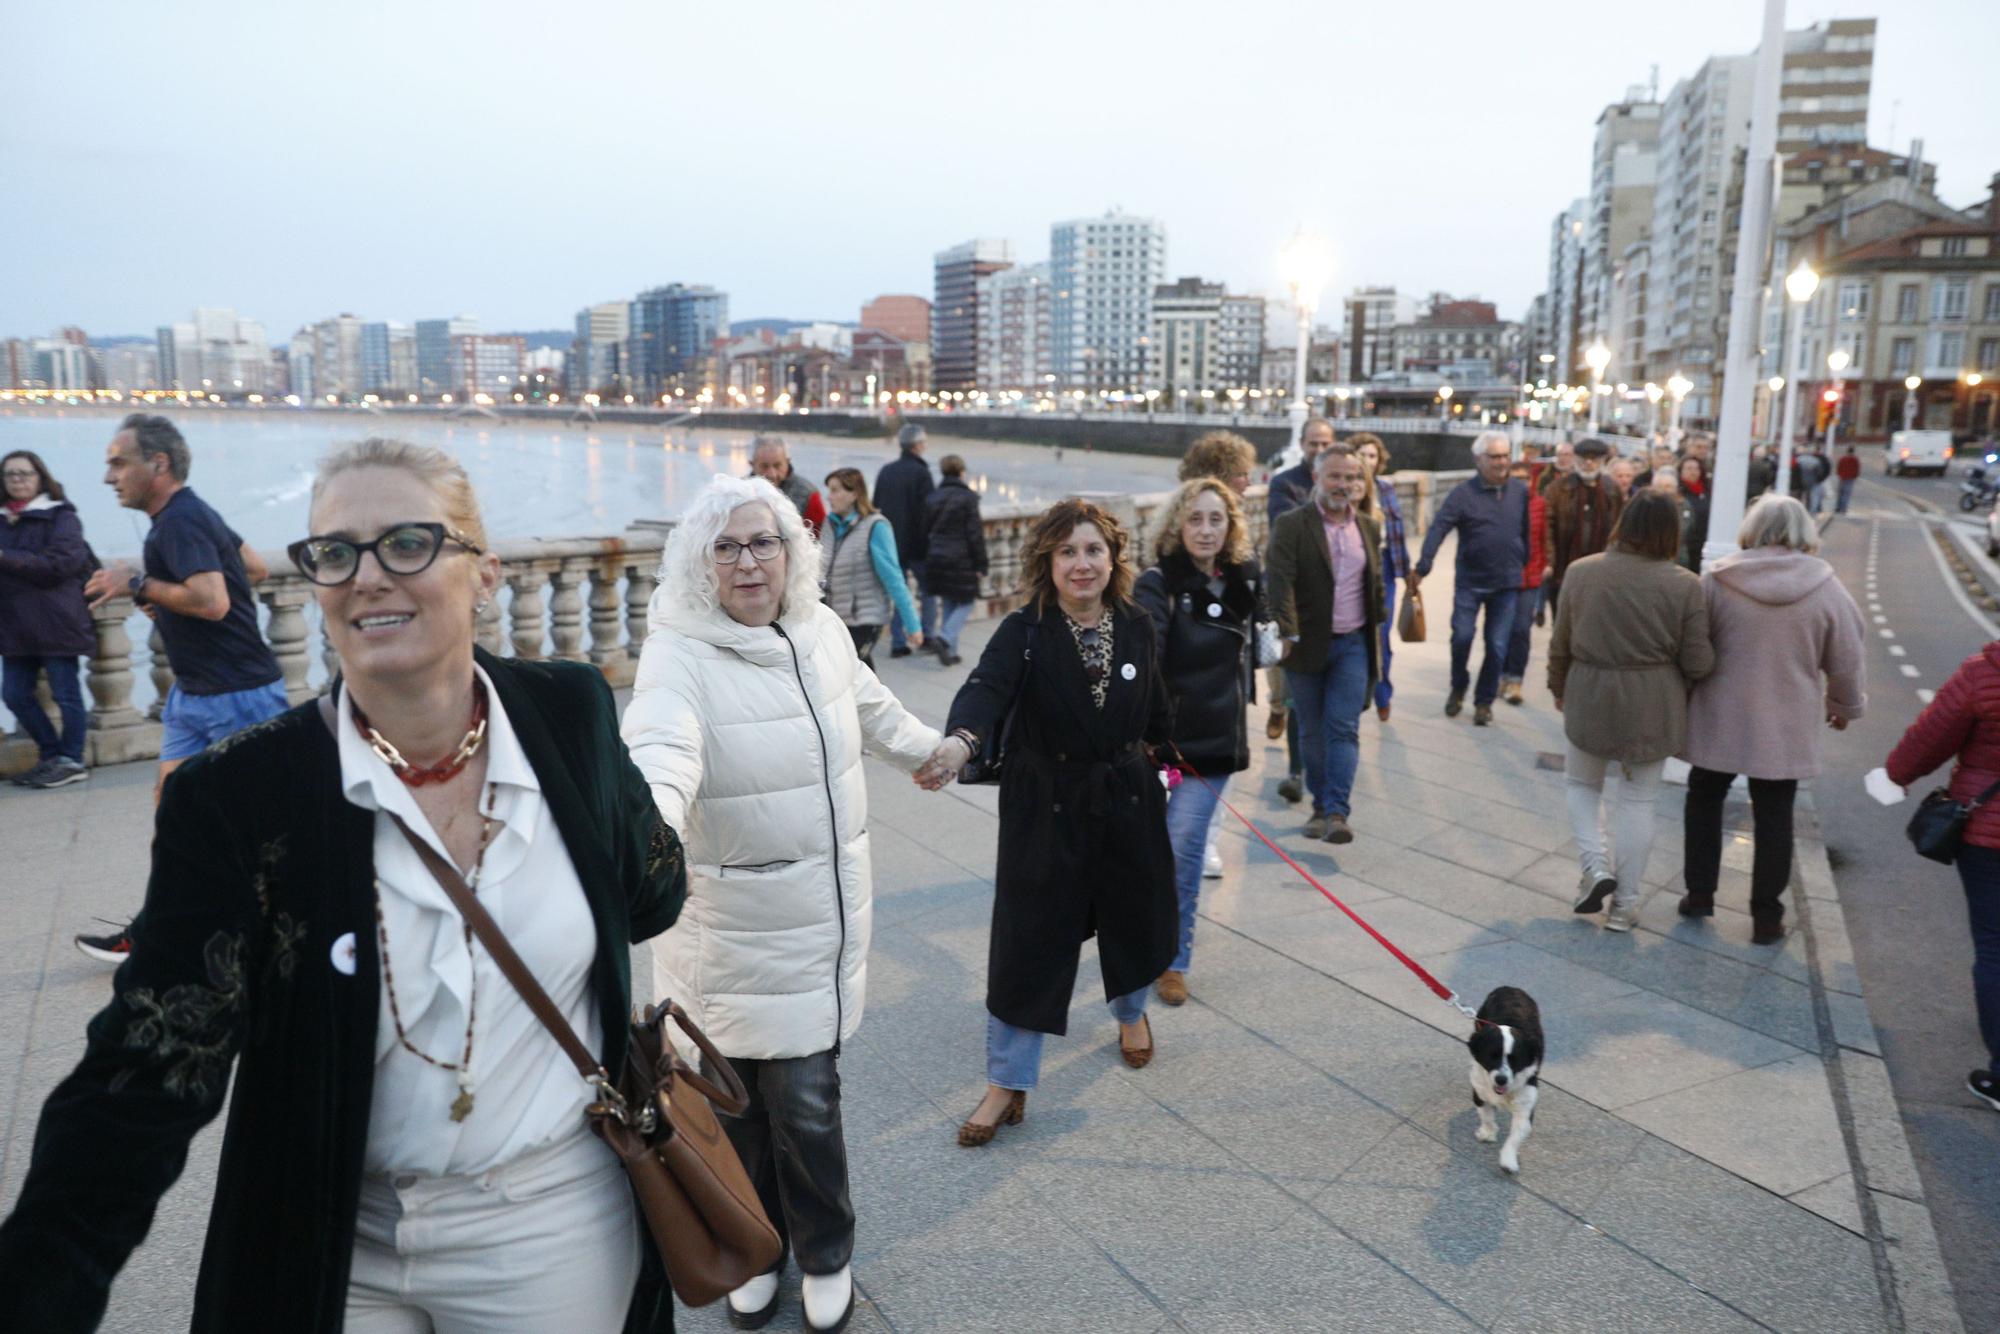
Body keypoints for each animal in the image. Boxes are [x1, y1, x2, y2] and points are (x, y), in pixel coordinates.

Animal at [1472, 988, 1544, 1176]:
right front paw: (1488, 1133)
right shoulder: (1479, 1092)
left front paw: (1508, 1160)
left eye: (1515, 1060)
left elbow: (1515, 1136)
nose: (1501, 1079)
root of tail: (1510, 987)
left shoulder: (1526, 1106)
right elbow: (1487, 1116)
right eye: (1492, 1056)